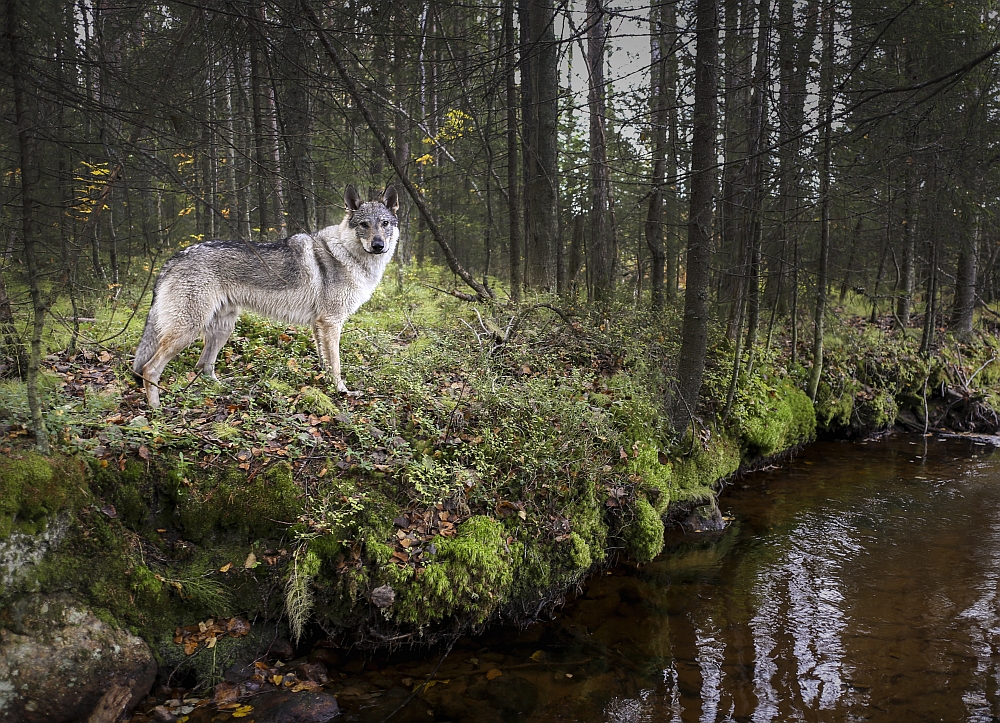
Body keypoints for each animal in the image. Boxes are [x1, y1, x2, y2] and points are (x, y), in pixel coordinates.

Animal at [132, 184, 398, 410]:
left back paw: (222, 390)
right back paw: (156, 410)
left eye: (385, 223)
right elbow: (336, 364)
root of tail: (171, 261)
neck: (346, 254)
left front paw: (324, 386)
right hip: (188, 330)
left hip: (222, 330)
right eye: (363, 224)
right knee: (149, 368)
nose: (378, 245)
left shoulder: (319, 325)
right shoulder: (331, 323)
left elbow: (325, 361)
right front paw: (341, 391)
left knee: (203, 367)